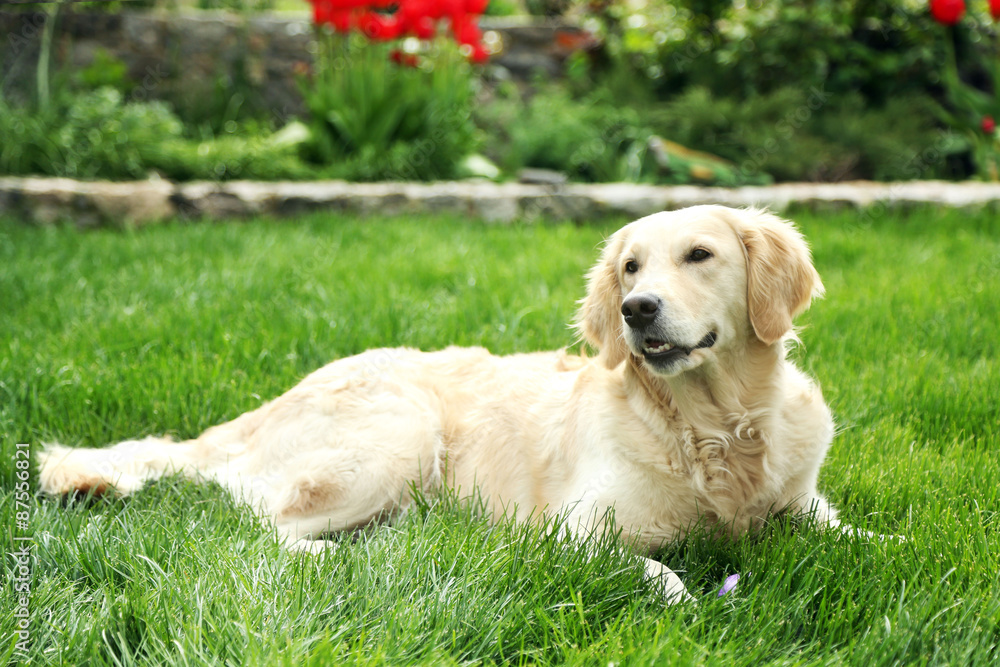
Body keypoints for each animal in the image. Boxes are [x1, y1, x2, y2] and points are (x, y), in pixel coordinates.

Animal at [37, 206, 836, 604]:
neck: (713, 425)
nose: (636, 310)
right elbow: (658, 571)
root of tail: (266, 407)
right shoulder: (572, 532)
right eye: (631, 267)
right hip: (401, 428)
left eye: (700, 255)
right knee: (268, 523)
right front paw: (687, 600)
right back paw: (344, 554)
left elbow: (849, 534)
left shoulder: (802, 503)